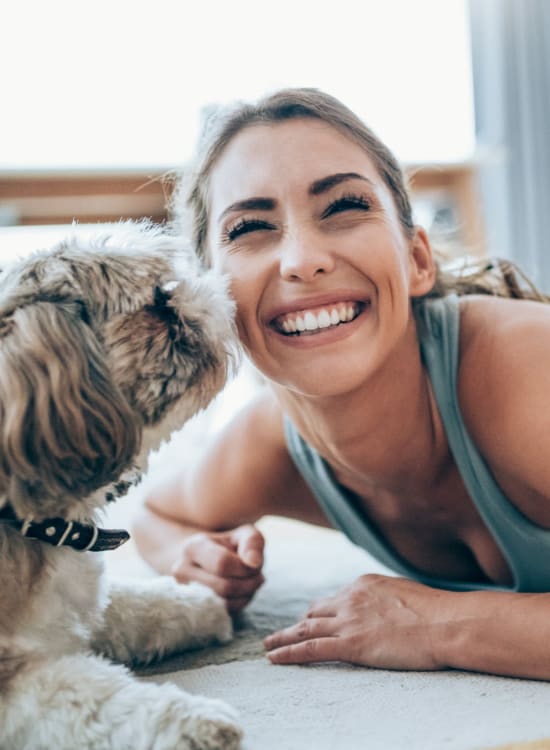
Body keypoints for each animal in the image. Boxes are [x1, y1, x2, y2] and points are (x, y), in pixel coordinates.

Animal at [0, 225, 244, 750]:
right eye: (157, 303)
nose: (213, 292)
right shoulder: (11, 681)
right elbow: (88, 696)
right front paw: (194, 722)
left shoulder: (80, 603)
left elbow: (133, 605)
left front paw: (202, 604)